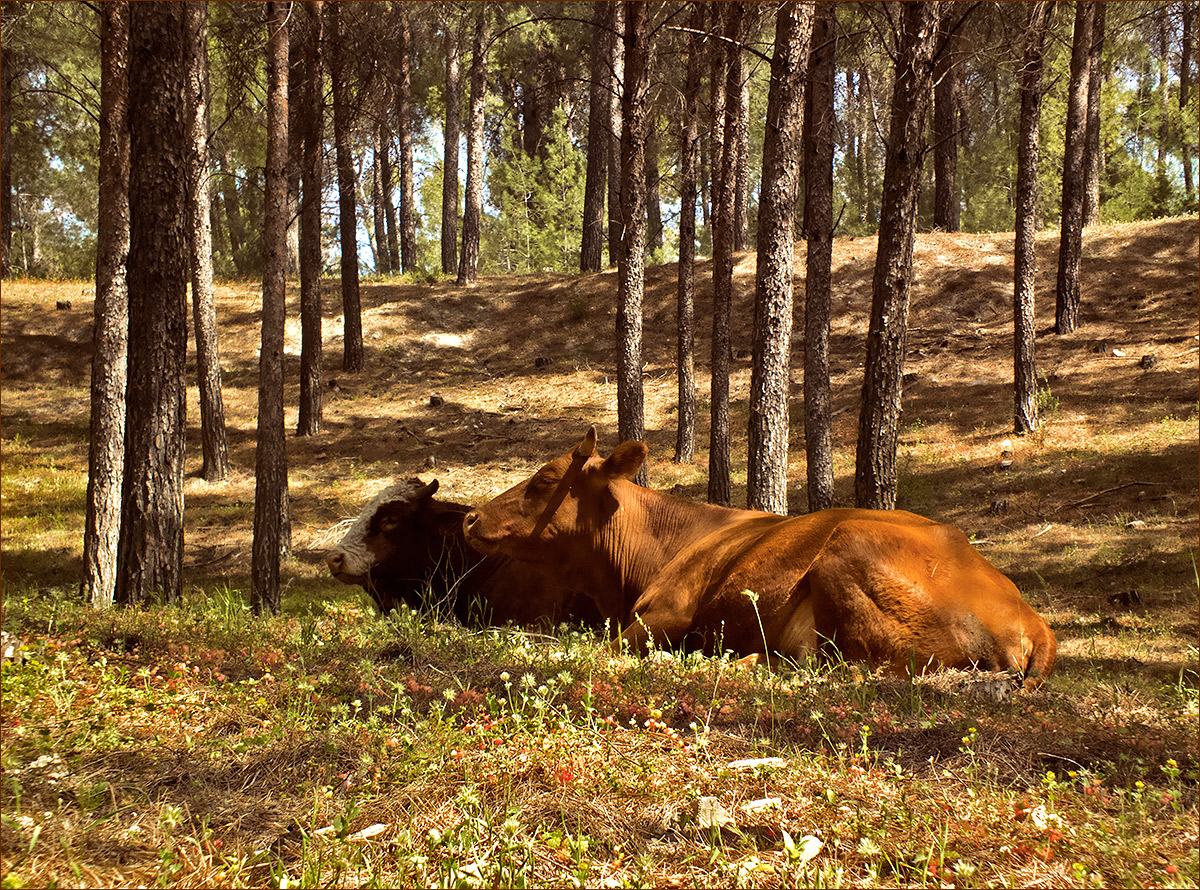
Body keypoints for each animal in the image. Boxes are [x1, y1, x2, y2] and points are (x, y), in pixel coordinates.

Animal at [463, 429, 1056, 686]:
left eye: (545, 480)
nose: (469, 517)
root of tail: (1034, 620)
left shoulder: (667, 613)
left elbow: (594, 649)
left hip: (848, 556)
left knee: (842, 668)